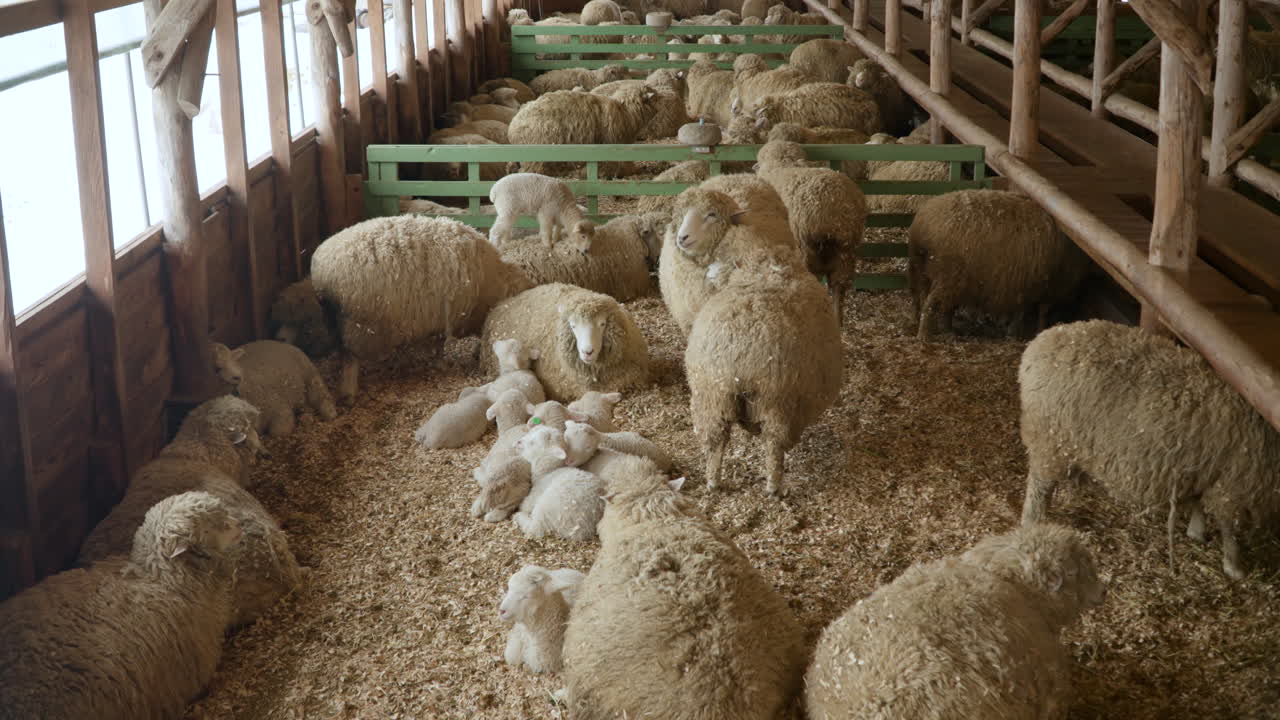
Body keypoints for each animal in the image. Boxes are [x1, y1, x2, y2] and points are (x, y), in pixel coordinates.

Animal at [309, 215, 533, 403]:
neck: (491, 285)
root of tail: (321, 272)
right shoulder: (444, 318)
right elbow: (438, 346)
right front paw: (440, 364)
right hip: (357, 326)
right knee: (350, 360)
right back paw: (349, 393)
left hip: (337, 324)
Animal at [686, 245, 842, 497]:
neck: (767, 269)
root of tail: (739, 358)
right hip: (776, 403)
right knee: (774, 447)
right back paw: (773, 488)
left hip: (712, 399)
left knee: (714, 443)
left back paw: (713, 482)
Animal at [908, 189, 1088, 339]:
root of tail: (922, 226)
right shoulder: (1038, 286)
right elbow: (1033, 312)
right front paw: (1026, 332)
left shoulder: (1025, 285)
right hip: (949, 275)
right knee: (931, 303)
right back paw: (924, 335)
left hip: (925, 272)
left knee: (928, 300)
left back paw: (940, 328)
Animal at [1019, 320, 1280, 580]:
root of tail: (1037, 346)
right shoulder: (1235, 488)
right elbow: (1230, 531)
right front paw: (1234, 567)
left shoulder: (1205, 471)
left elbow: (1199, 504)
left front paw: (1196, 532)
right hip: (1048, 444)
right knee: (1038, 490)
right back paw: (1033, 522)